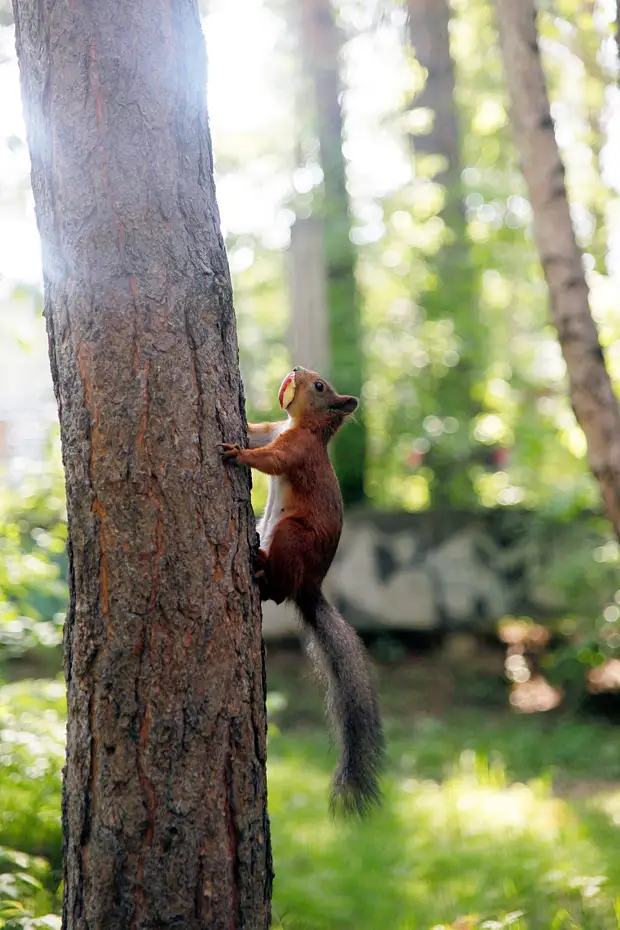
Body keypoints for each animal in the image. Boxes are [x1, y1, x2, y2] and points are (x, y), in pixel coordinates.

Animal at [220, 366, 386, 816]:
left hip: (292, 536)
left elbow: (269, 458)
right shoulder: (276, 429)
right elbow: (257, 432)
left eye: (320, 386)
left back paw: (260, 568)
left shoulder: (294, 450)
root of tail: (308, 587)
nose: (295, 370)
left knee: (276, 592)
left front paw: (235, 454)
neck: (303, 426)